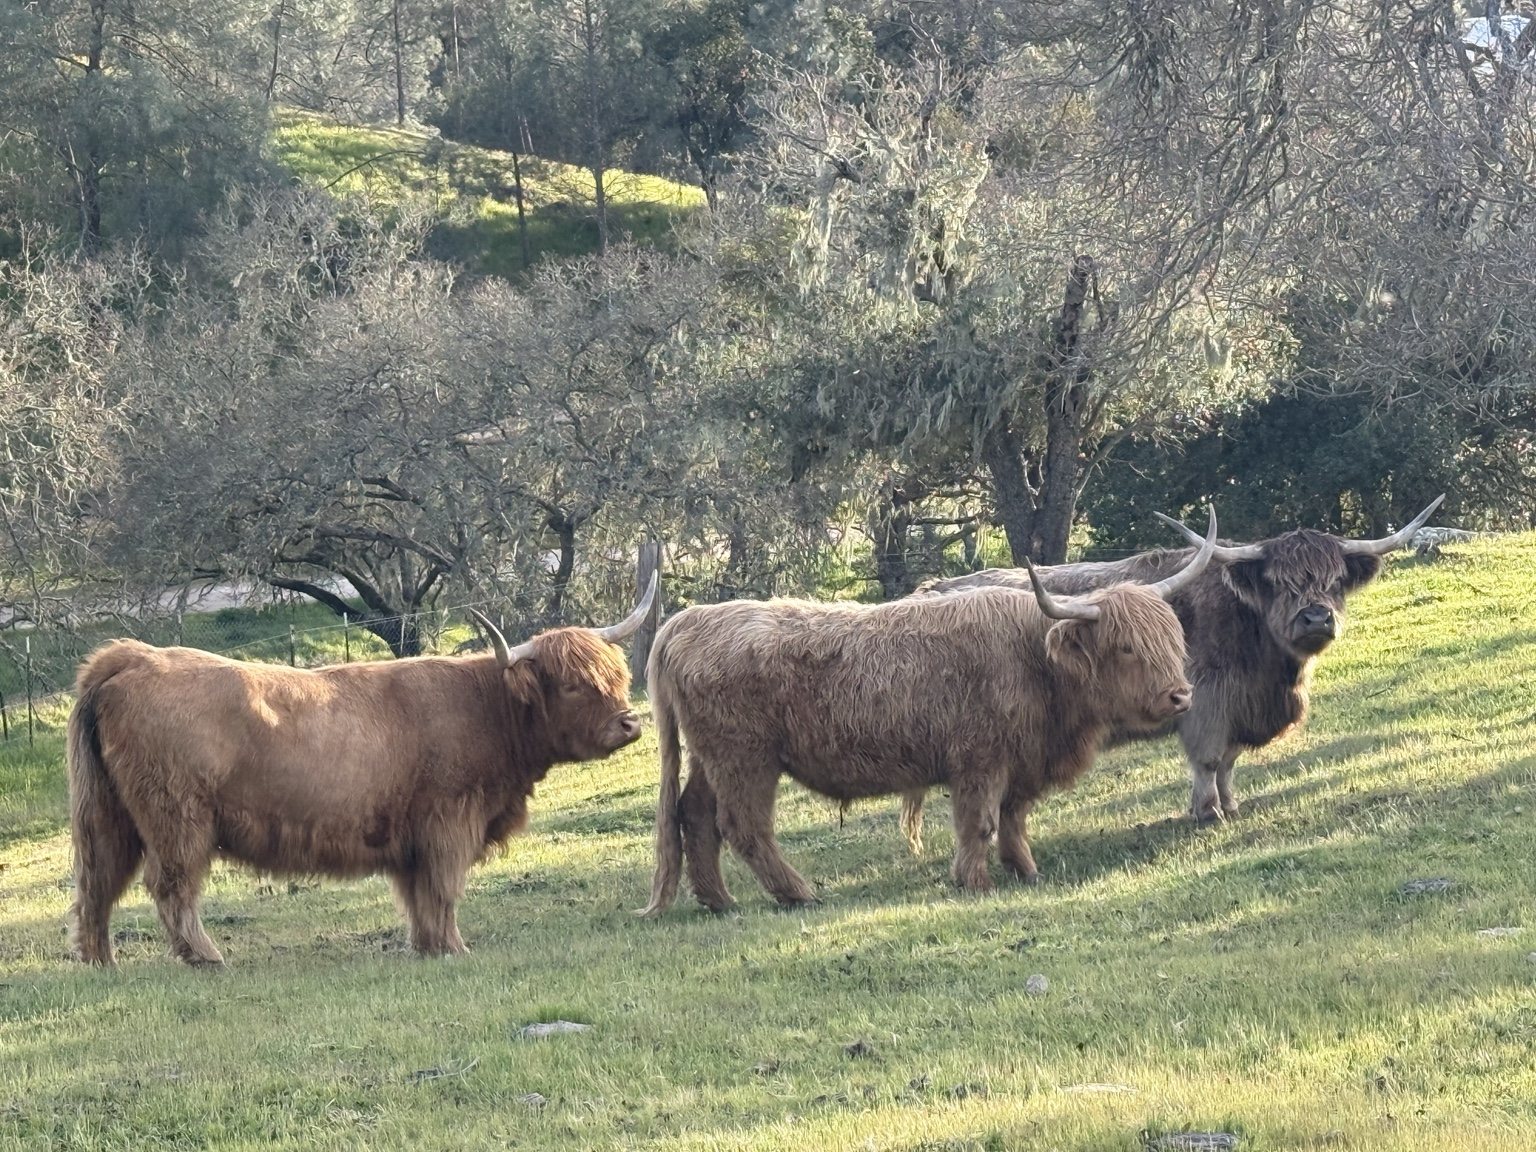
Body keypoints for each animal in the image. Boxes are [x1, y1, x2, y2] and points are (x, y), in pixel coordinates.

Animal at [66, 576, 657, 967]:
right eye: (573, 684)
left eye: (615, 674)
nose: (629, 723)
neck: (489, 707)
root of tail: (133, 657)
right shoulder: (449, 821)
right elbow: (443, 890)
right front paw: (454, 948)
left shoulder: (412, 836)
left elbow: (418, 896)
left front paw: (428, 947)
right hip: (178, 819)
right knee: (171, 885)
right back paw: (206, 957)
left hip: (109, 815)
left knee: (98, 883)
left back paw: (102, 962)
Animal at [637, 514, 1218, 915]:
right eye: (1125, 647)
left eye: (1172, 637)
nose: (1180, 696)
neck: (1035, 659)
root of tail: (685, 622)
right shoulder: (979, 759)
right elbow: (980, 821)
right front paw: (975, 881)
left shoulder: (1019, 760)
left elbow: (1014, 816)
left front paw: (1025, 870)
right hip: (745, 758)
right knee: (743, 825)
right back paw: (797, 893)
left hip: (710, 757)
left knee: (694, 815)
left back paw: (720, 901)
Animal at [900, 496, 1444, 837]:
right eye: (1279, 581)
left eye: (1334, 581)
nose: (1316, 618)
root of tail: (925, 591)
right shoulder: (1206, 701)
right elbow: (1208, 758)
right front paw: (1207, 812)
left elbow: (1228, 762)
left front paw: (1229, 804)